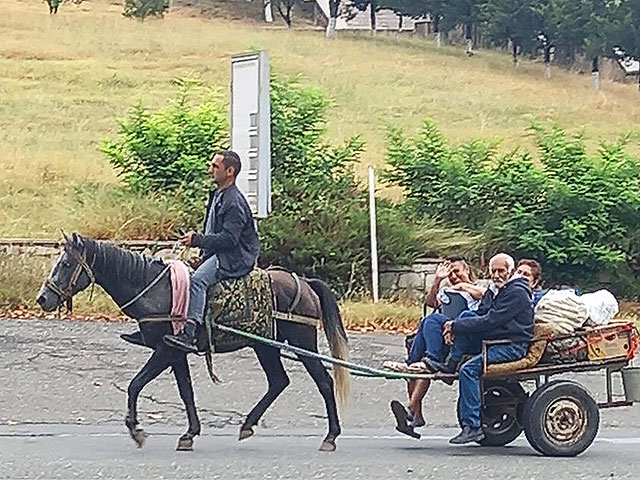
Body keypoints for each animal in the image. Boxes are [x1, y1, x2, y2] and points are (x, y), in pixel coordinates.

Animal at [35, 232, 350, 450]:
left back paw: (331, 436)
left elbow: (136, 384)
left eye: (66, 263)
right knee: (278, 382)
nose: (43, 299)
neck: (155, 289)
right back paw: (247, 425)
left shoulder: (165, 350)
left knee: (324, 382)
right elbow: (186, 391)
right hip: (265, 346)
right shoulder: (176, 353)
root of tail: (305, 283)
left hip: (303, 343)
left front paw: (136, 430)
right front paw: (189, 433)